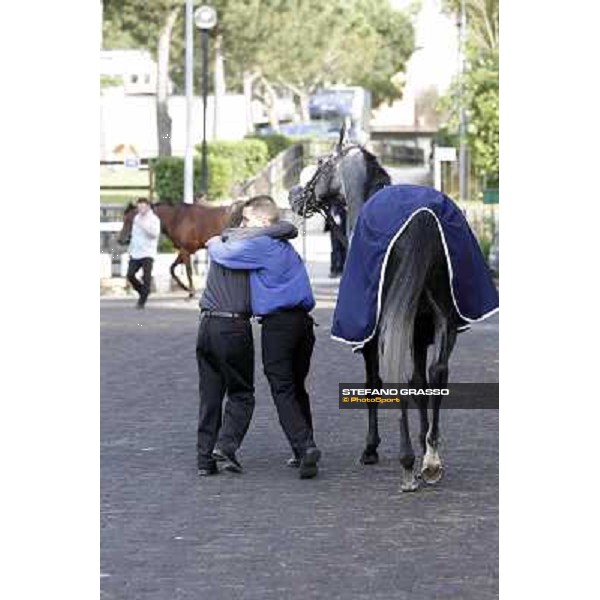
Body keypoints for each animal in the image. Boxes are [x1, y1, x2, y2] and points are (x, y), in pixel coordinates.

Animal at [288, 127, 462, 492]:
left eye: (321, 164)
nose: (295, 195)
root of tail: (422, 219)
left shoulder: (374, 336)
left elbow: (374, 384)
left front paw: (372, 447)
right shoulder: (420, 332)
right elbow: (420, 382)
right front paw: (426, 446)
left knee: (396, 379)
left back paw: (407, 463)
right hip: (442, 320)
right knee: (437, 372)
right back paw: (430, 459)